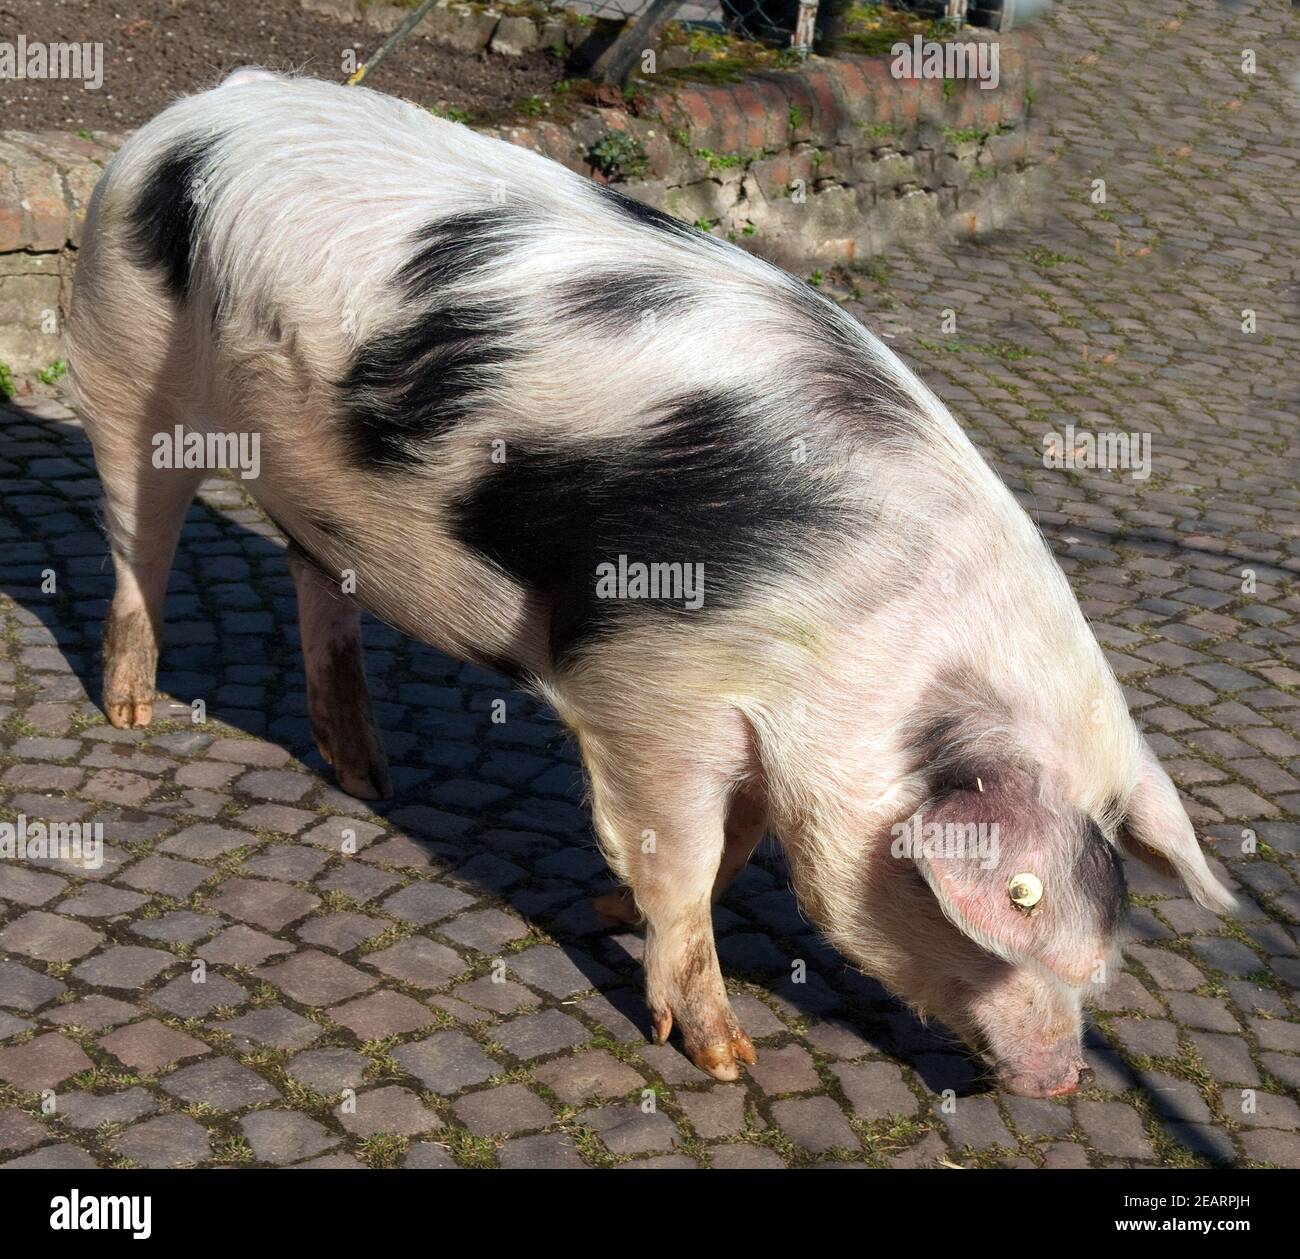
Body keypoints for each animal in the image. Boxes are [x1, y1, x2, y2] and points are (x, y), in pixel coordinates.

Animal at [63, 71, 1237, 1092]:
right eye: (1013, 935)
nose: (1062, 1081)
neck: (870, 643)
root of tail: (202, 108)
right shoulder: (652, 687)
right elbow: (684, 853)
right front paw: (723, 1056)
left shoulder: (762, 734)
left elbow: (735, 848)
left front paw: (603, 911)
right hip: (125, 365)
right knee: (135, 541)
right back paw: (131, 711)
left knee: (316, 582)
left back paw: (368, 779)